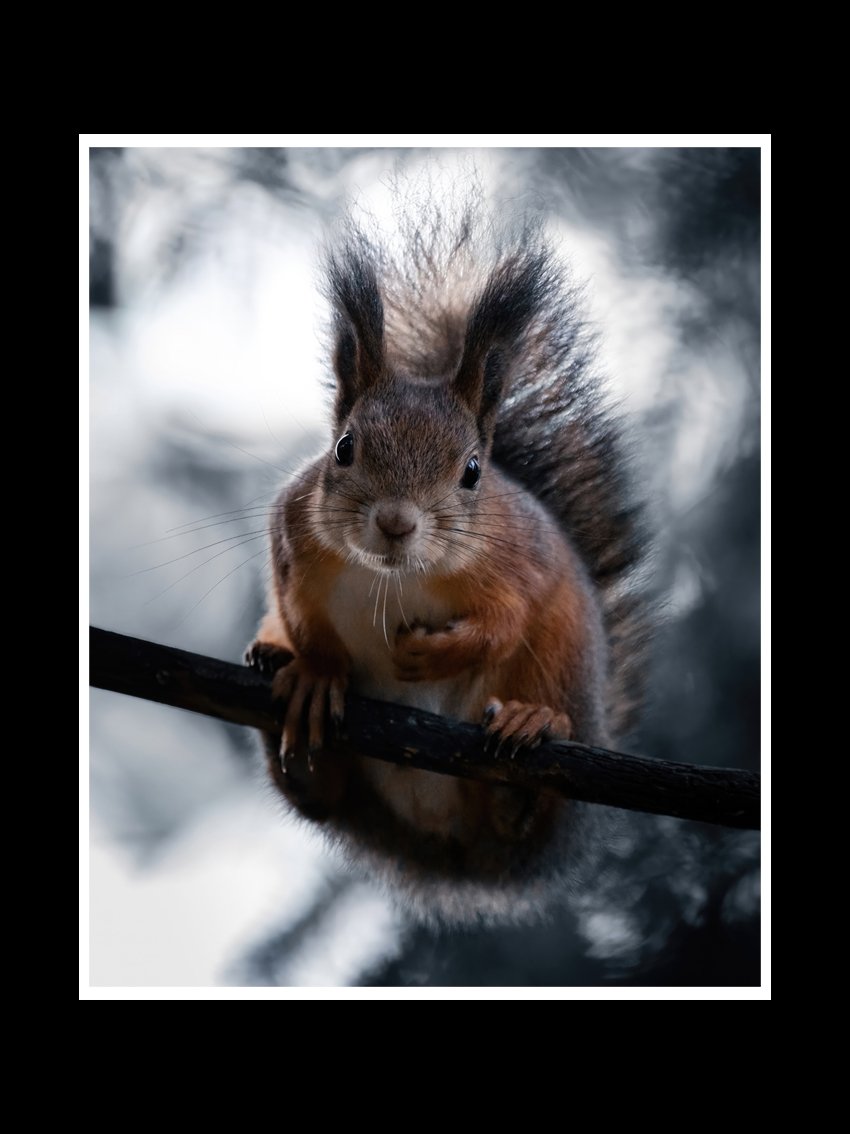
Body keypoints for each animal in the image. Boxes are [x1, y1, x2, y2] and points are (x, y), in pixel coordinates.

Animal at [246, 189, 647, 924]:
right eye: (344, 448)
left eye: (471, 472)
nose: (396, 522)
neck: (394, 577)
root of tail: (446, 841)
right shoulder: (291, 537)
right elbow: (302, 613)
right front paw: (317, 672)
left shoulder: (521, 563)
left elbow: (504, 623)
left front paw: (432, 654)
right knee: (319, 797)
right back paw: (285, 694)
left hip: (563, 657)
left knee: (525, 811)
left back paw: (530, 737)